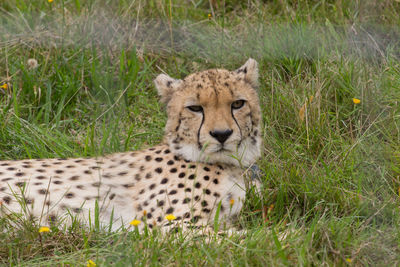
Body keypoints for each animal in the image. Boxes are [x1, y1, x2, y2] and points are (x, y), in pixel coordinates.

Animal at [0, 58, 262, 232]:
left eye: (237, 104)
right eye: (195, 108)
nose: (222, 134)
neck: (232, 166)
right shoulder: (169, 226)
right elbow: (245, 239)